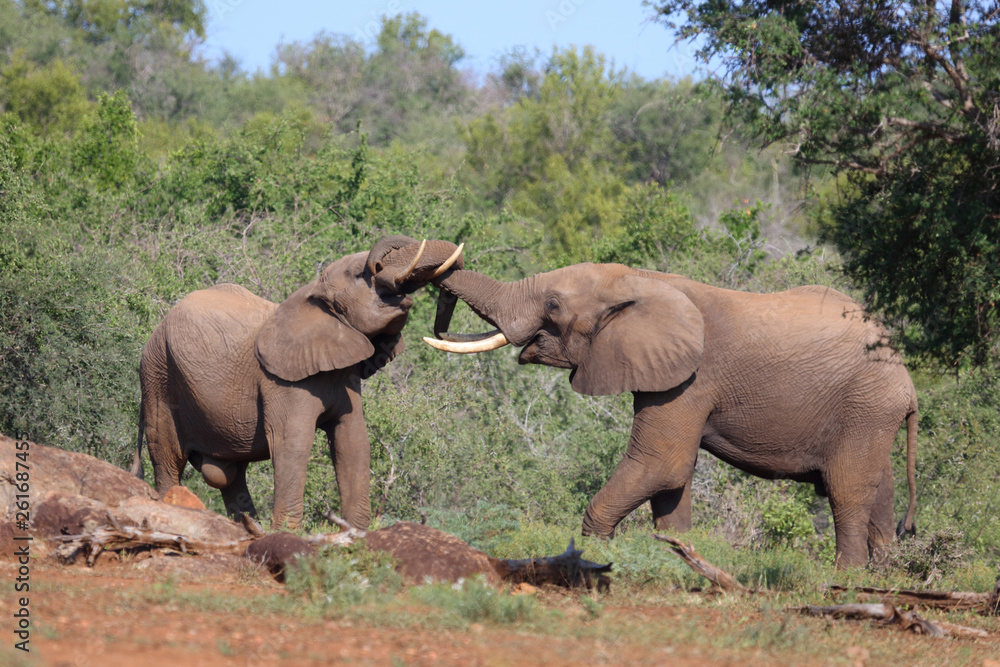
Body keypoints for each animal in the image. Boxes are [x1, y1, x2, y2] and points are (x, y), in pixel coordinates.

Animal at [131, 236, 465, 530]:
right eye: (362, 275)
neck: (313, 293)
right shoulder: (281, 382)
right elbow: (292, 443)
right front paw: (289, 535)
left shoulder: (345, 375)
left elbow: (353, 441)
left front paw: (356, 533)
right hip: (158, 377)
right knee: (168, 458)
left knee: (231, 475)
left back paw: (250, 527)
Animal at [425, 262, 918, 568]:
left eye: (553, 305)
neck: (642, 280)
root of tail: (908, 381)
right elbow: (671, 483)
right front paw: (677, 556)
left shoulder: (691, 379)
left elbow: (662, 465)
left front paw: (590, 555)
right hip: (874, 413)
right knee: (882, 490)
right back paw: (885, 576)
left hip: (865, 406)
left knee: (847, 490)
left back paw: (845, 577)